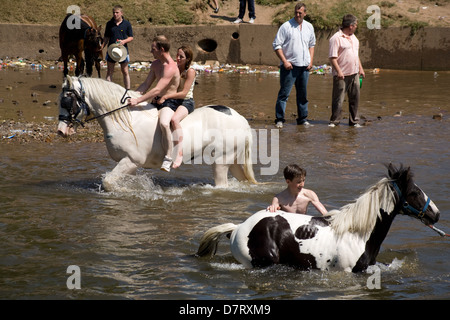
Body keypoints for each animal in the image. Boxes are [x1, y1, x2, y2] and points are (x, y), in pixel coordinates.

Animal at [56, 75, 256, 190]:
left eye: (66, 100)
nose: (61, 130)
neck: (128, 120)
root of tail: (241, 120)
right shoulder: (129, 164)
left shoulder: (131, 160)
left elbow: (108, 182)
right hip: (234, 161)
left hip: (221, 160)